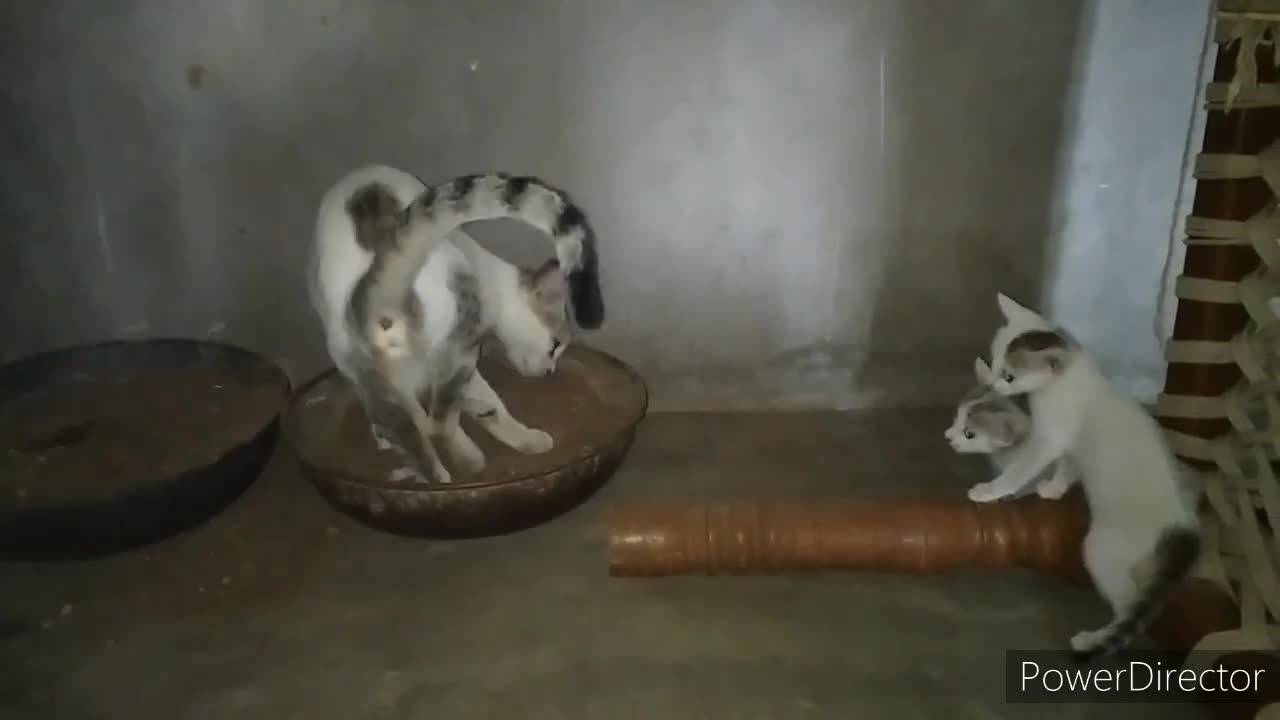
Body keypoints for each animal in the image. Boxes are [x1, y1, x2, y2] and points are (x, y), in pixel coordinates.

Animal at [312, 163, 606, 481]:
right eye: (554, 346)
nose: (550, 372)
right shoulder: (465, 350)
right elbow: (487, 405)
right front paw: (522, 438)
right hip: (457, 339)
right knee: (437, 422)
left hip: (364, 369)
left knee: (411, 431)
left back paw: (431, 472)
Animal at [967, 292, 1198, 661]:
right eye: (993, 357)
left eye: (1009, 376)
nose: (991, 384)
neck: (1067, 380)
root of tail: (1182, 531)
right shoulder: (1070, 445)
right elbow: (1067, 467)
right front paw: (1053, 489)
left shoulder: (1049, 438)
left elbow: (1020, 469)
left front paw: (989, 491)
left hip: (1101, 550)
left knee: (1127, 608)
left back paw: (1092, 639)